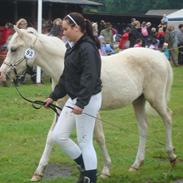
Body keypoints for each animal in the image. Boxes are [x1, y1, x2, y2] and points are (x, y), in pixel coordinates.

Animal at [0, 26, 177, 182]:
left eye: (13, 49)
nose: (3, 75)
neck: (63, 68)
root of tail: (159, 55)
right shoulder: (61, 109)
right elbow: (51, 137)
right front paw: (38, 172)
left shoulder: (92, 112)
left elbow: (99, 138)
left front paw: (106, 169)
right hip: (138, 101)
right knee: (143, 128)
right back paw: (136, 164)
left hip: (155, 99)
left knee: (168, 118)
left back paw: (171, 156)